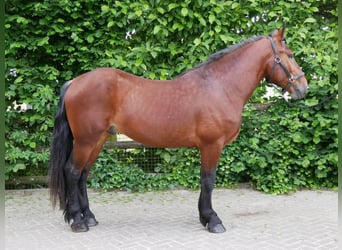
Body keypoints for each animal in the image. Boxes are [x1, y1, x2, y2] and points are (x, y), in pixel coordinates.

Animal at [47, 26, 308, 233]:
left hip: (98, 140)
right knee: (72, 172)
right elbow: (208, 180)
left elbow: (204, 180)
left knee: (83, 175)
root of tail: (75, 82)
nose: (303, 88)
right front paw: (212, 220)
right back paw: (77, 221)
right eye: (290, 55)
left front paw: (204, 217)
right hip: (86, 140)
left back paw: (89, 217)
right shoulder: (212, 145)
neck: (220, 86)